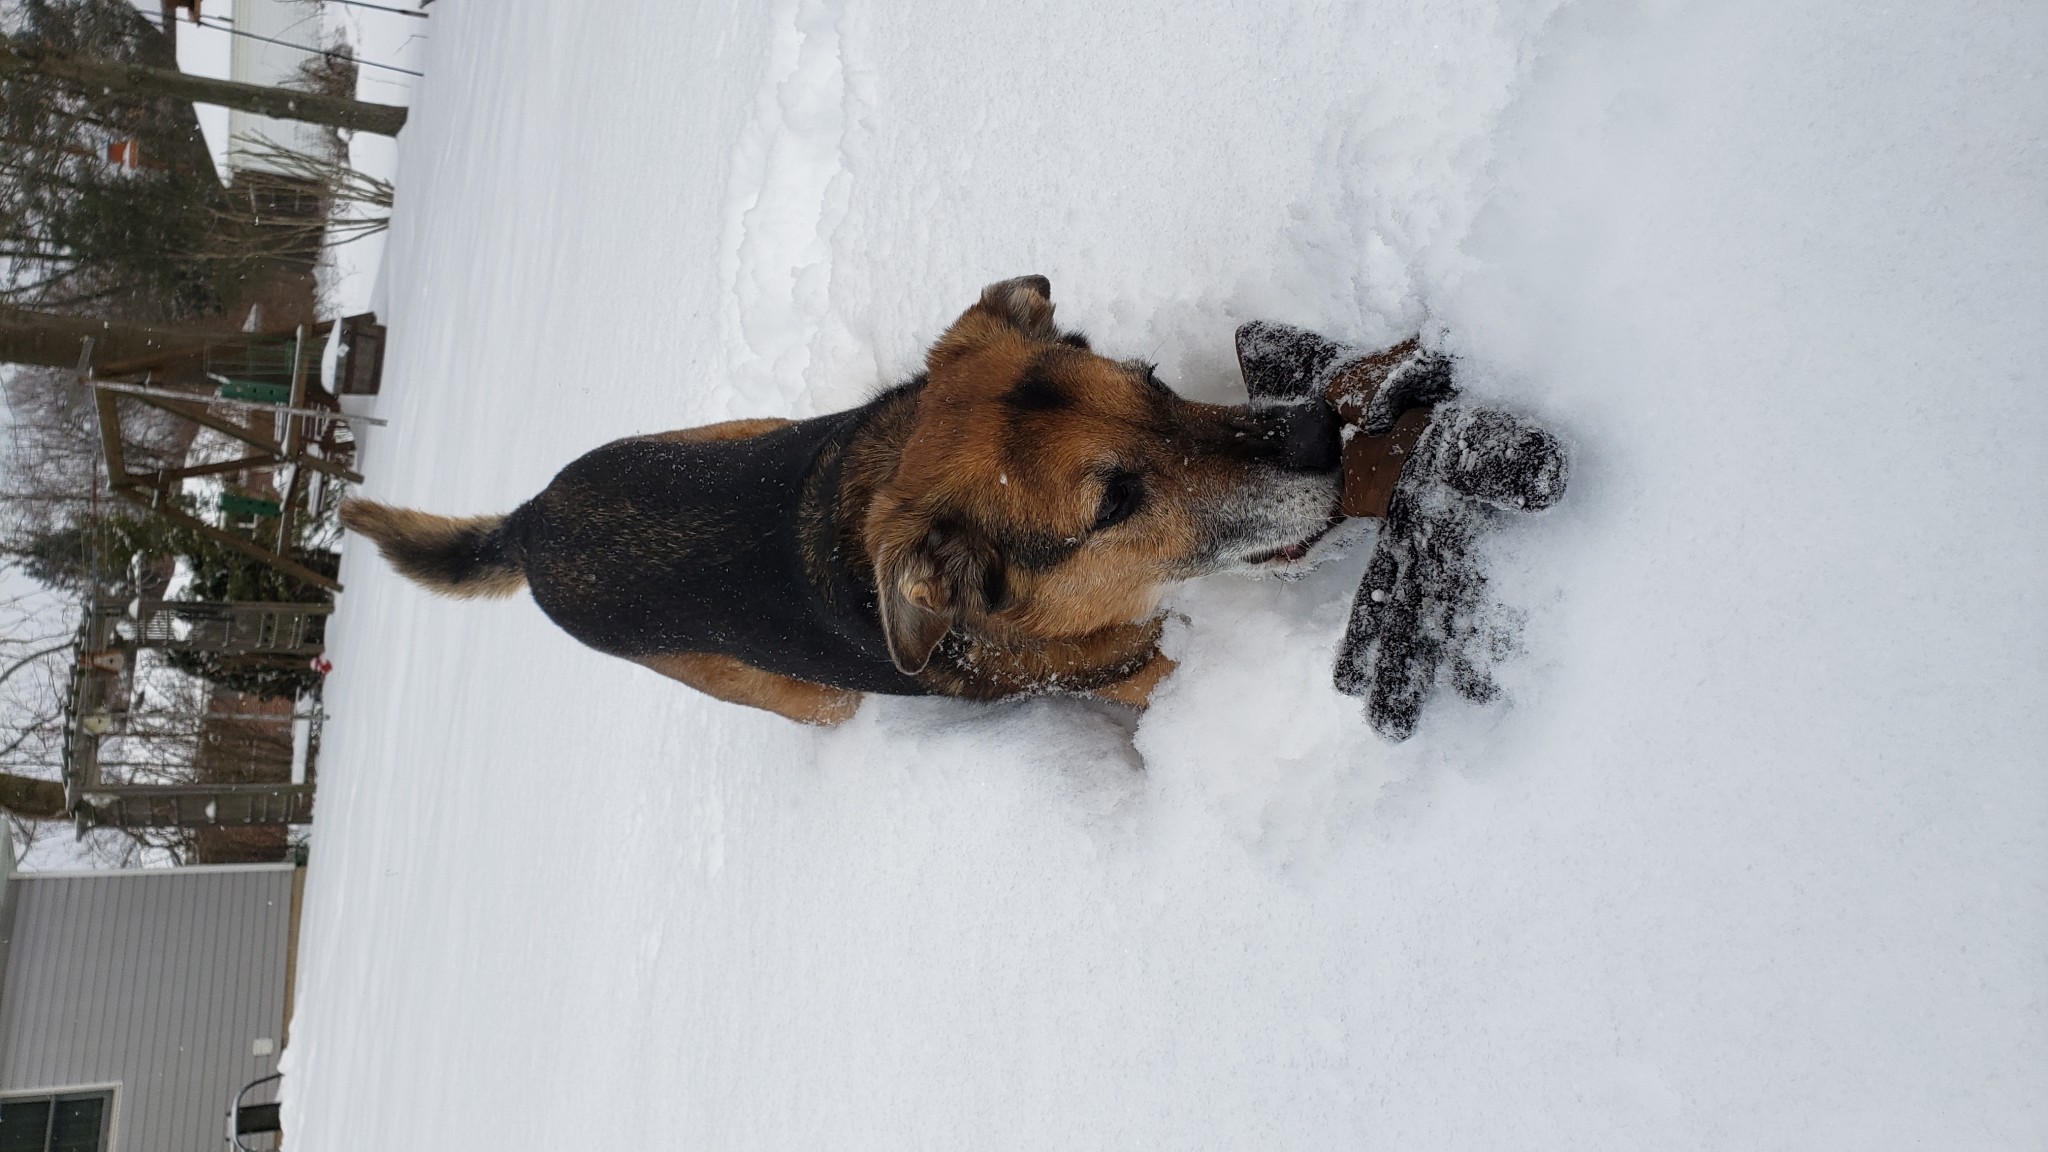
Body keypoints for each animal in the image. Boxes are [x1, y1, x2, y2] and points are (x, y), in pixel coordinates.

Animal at [340, 277, 1344, 725]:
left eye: (1153, 381)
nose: (1322, 434)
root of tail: (528, 526)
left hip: (737, 428)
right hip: (798, 694)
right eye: (1114, 503)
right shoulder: (1135, 672)